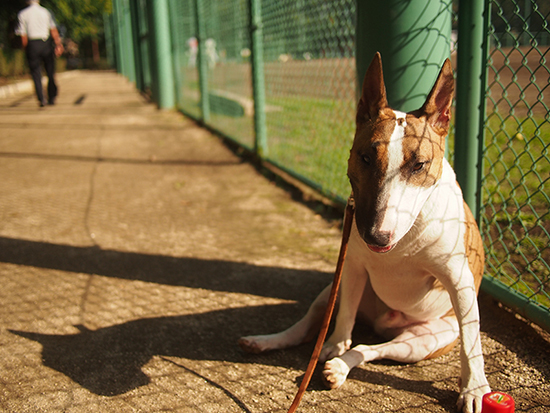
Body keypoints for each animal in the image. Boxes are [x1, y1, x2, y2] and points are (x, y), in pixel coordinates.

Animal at [239, 53, 494, 410]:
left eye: (419, 165)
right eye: (365, 157)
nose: (376, 236)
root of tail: (382, 322)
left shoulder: (459, 280)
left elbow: (472, 342)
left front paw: (474, 389)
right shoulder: (353, 267)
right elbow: (344, 316)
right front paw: (334, 344)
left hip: (424, 340)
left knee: (372, 349)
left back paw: (340, 368)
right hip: (332, 289)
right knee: (310, 326)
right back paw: (271, 342)